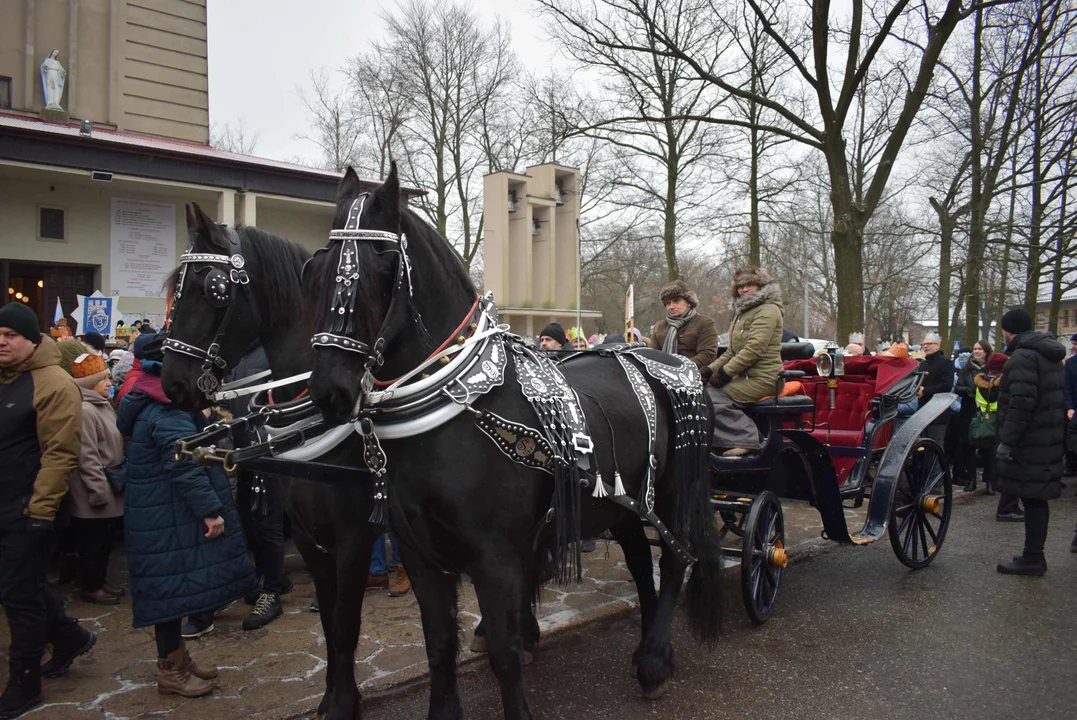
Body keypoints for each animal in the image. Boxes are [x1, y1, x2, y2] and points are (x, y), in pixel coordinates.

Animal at [159, 203, 379, 718]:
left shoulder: (355, 538)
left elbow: (346, 622)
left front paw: (345, 703)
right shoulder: (312, 537)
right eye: (175, 283)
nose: (171, 381)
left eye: (211, 288)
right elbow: (331, 626)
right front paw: (332, 697)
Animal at [303, 165, 723, 714]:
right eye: (317, 266)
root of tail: (664, 359)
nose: (331, 391)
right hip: (624, 502)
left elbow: (504, 650)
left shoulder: (494, 557)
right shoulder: (418, 554)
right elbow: (439, 644)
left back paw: (654, 661)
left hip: (674, 489)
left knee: (675, 558)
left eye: (383, 261)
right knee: (638, 559)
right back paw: (650, 645)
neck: (454, 405)